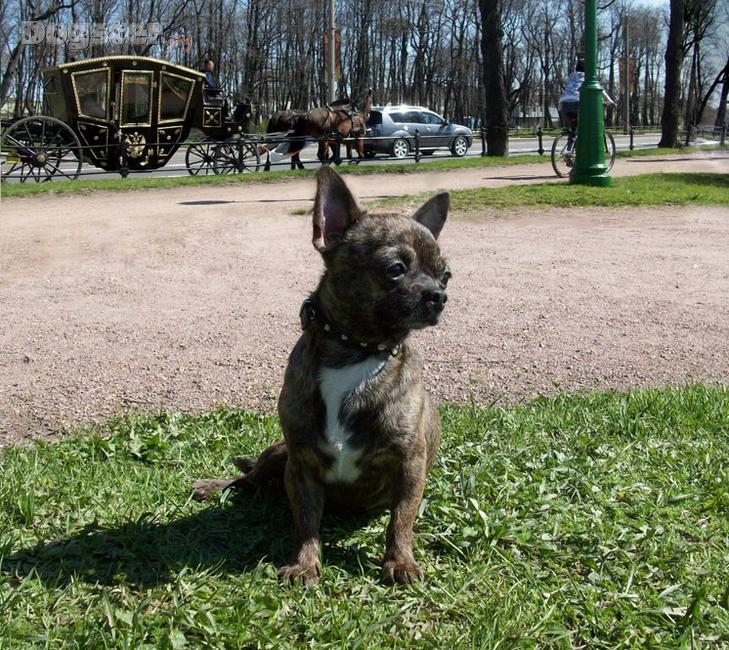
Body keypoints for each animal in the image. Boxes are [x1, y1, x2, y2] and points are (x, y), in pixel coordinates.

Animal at [193, 166, 450, 585]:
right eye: (395, 269)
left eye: (446, 275)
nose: (439, 296)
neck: (356, 352)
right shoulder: (301, 466)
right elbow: (307, 521)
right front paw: (305, 562)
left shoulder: (409, 466)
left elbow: (400, 520)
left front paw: (400, 561)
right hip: (277, 455)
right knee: (247, 478)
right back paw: (212, 486)